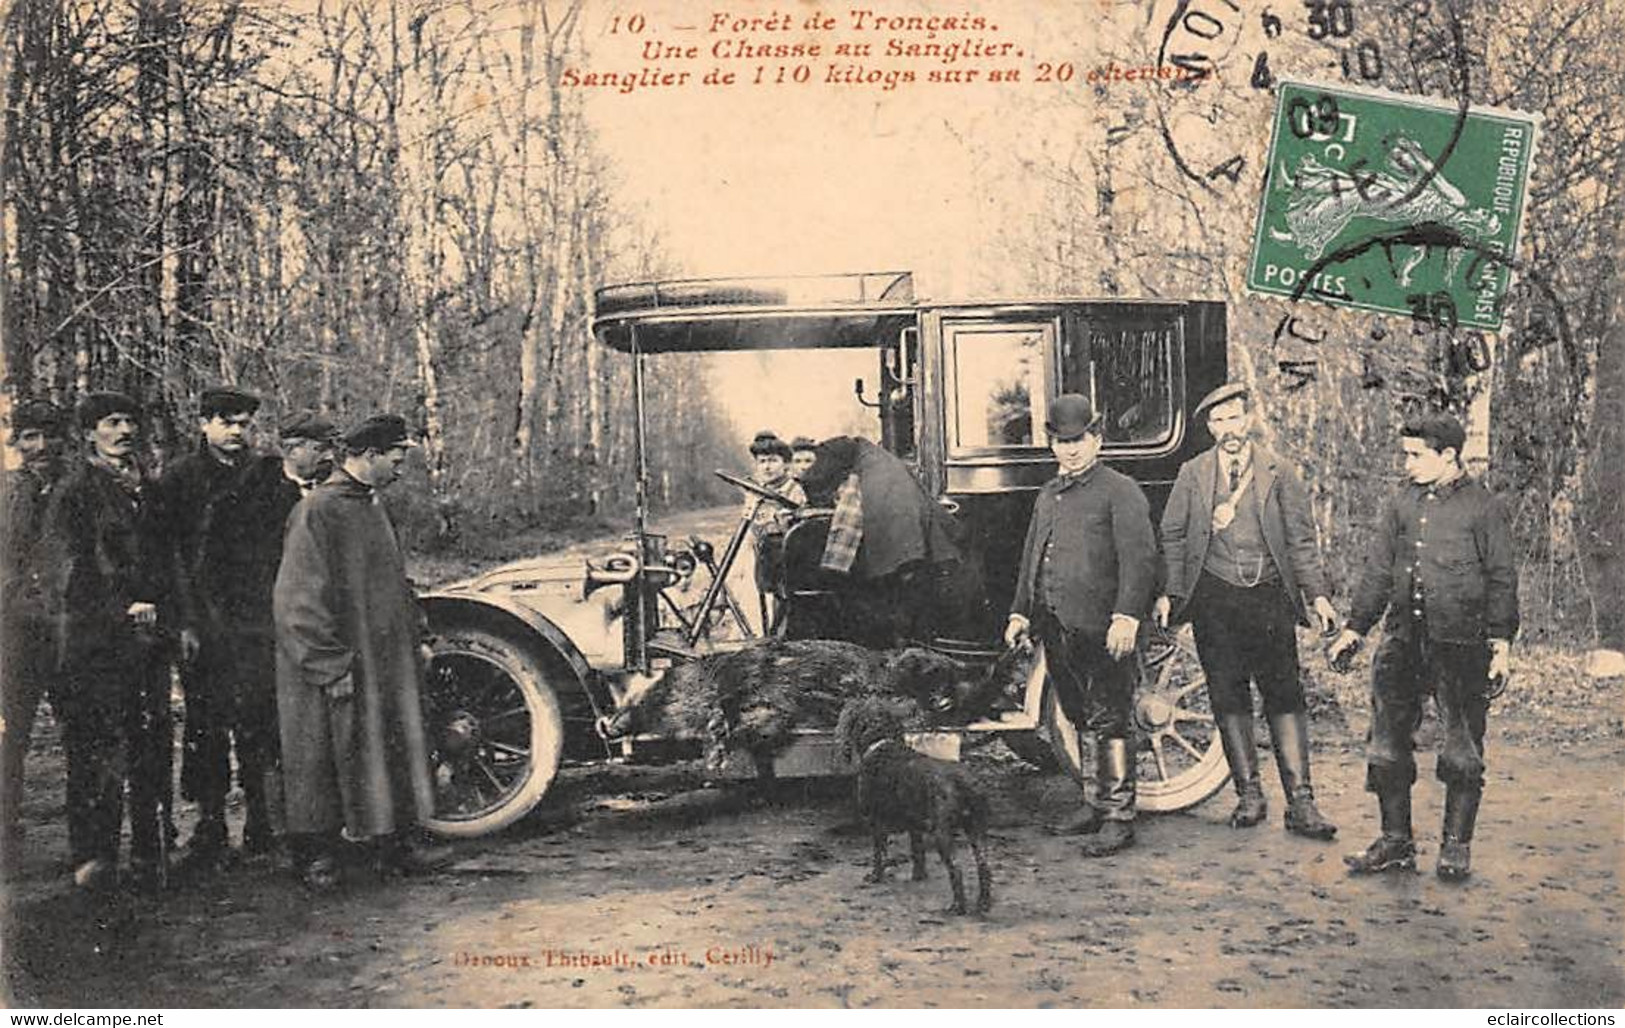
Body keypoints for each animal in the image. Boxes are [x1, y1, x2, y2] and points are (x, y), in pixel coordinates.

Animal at [838, 688, 988, 915]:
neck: (881, 742)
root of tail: (963, 779)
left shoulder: (876, 821)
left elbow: (878, 853)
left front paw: (876, 876)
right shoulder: (914, 825)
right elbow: (917, 852)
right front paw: (919, 876)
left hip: (942, 833)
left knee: (956, 868)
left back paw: (957, 906)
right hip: (975, 829)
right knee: (983, 864)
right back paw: (983, 903)